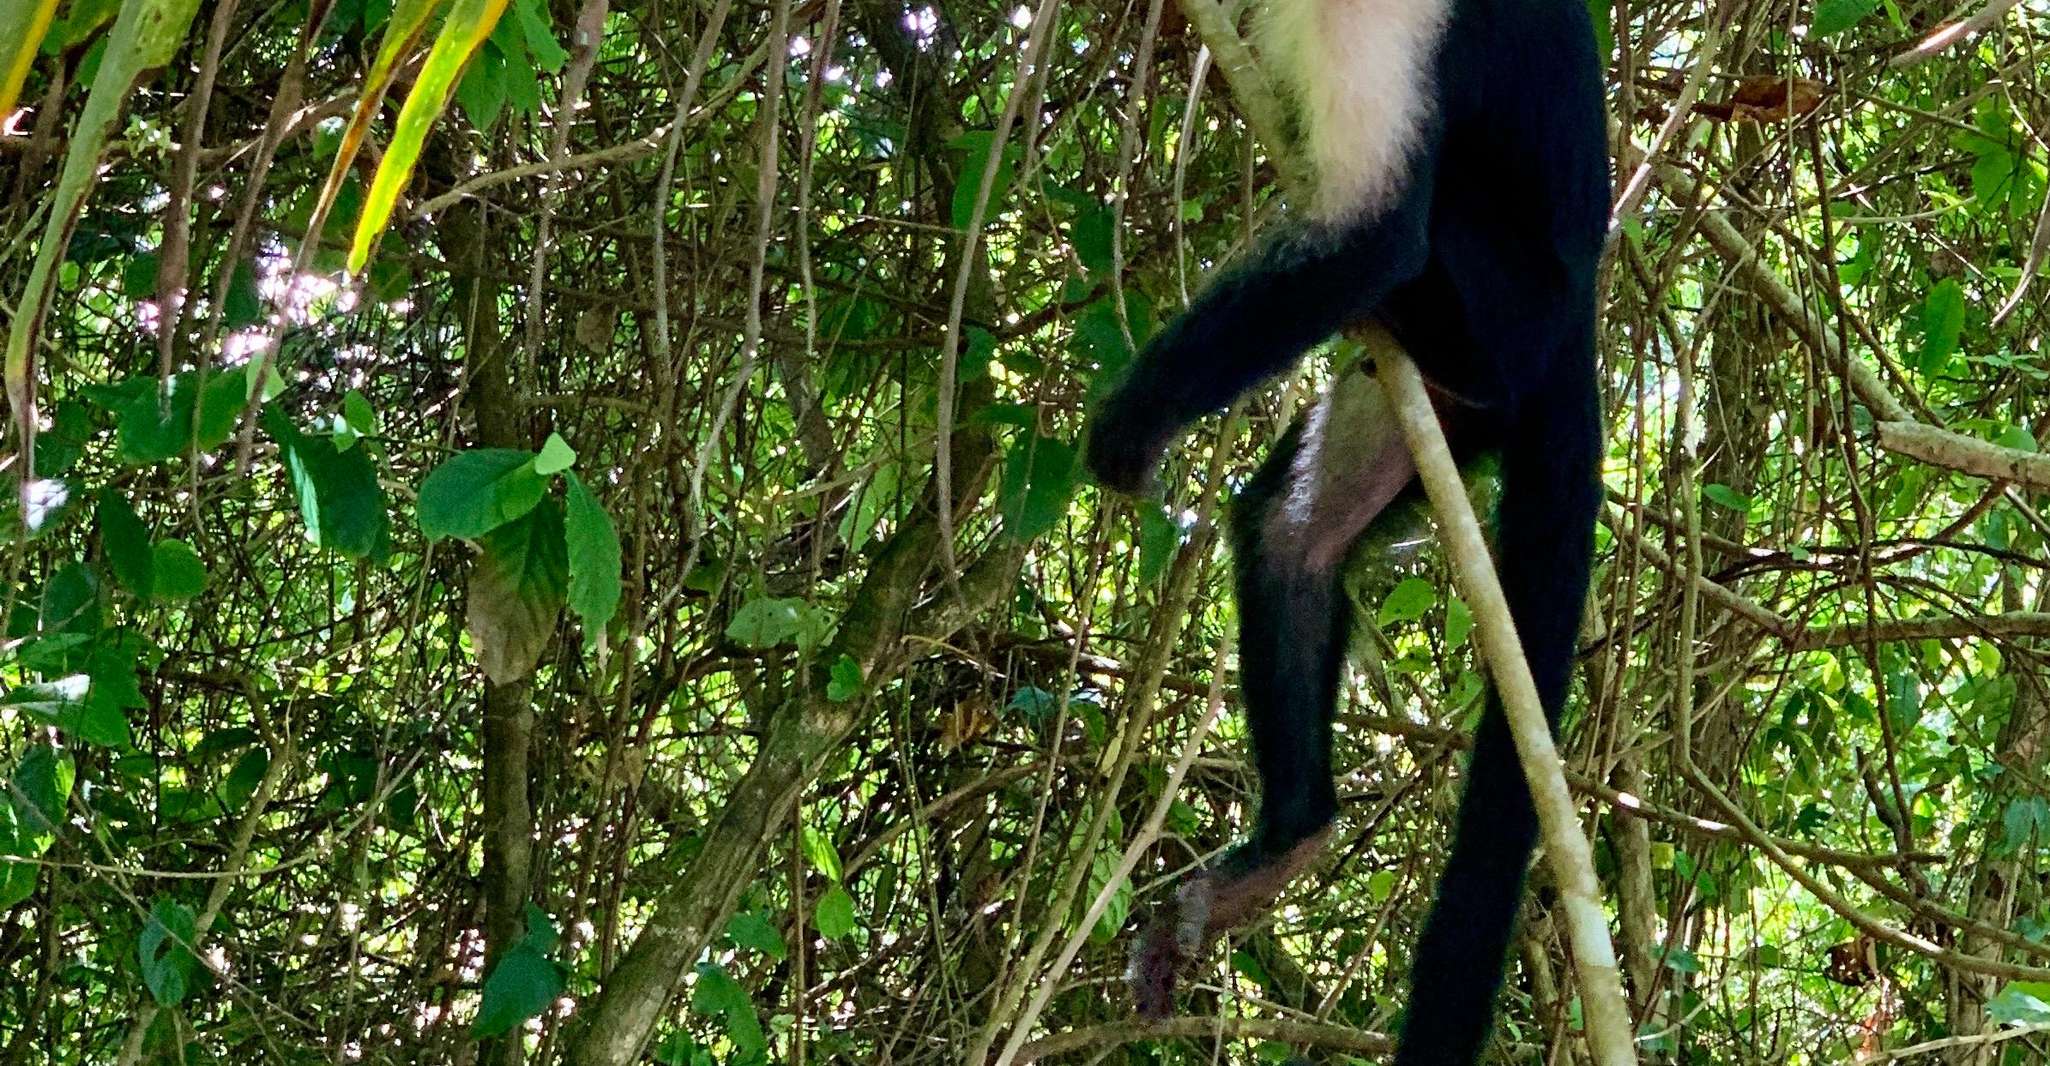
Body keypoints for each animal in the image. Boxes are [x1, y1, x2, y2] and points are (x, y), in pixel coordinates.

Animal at [1082, 0, 1607, 1057]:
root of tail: (1580, 322)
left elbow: (1377, 235)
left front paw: (1141, 413)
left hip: (1499, 321)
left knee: (1419, 232)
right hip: (1440, 408)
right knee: (1295, 539)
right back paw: (1292, 838)